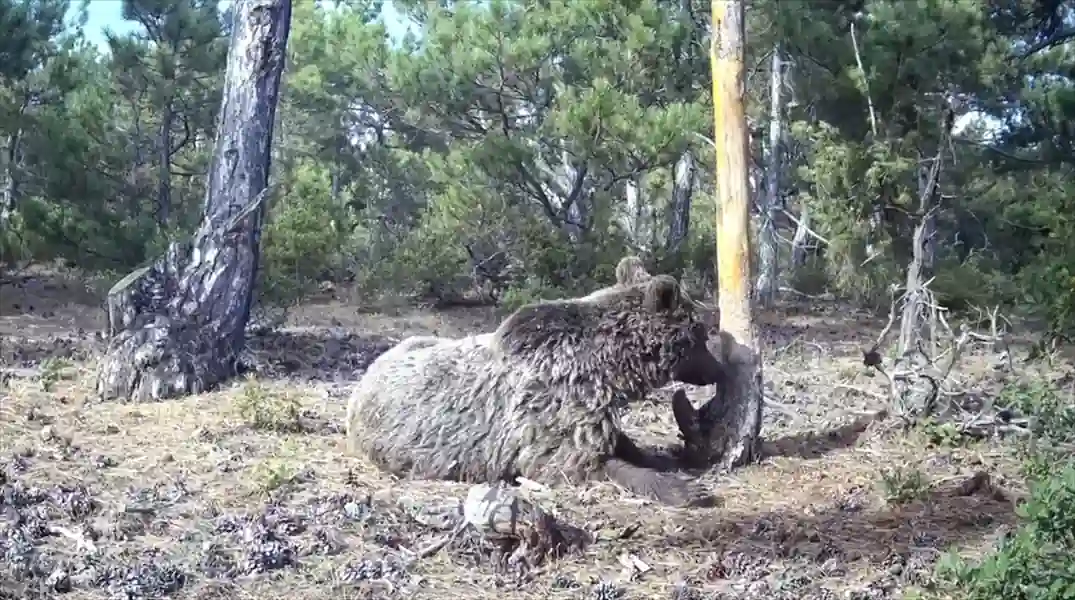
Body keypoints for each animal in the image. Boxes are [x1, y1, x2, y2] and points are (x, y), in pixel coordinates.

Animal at [346, 273, 722, 507]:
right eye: (701, 334)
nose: (718, 370)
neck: (609, 373)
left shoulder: (589, 414)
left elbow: (623, 444)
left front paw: (663, 459)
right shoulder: (549, 427)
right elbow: (587, 463)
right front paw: (685, 490)